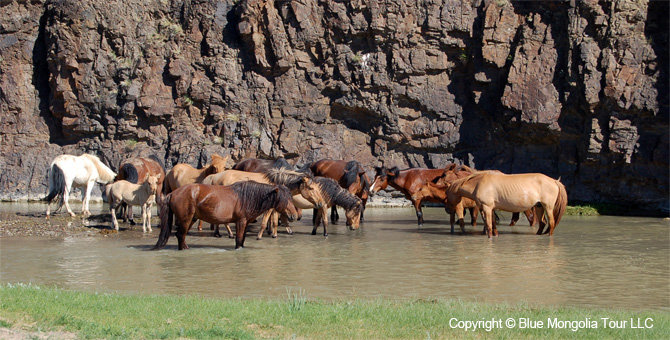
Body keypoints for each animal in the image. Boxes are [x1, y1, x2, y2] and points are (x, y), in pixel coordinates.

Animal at [155, 182, 300, 251]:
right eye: (285, 199)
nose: (294, 216)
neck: (246, 197)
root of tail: (172, 193)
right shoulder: (240, 222)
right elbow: (239, 241)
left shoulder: (245, 222)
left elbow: (242, 241)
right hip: (186, 219)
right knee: (180, 235)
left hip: (192, 219)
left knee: (181, 236)